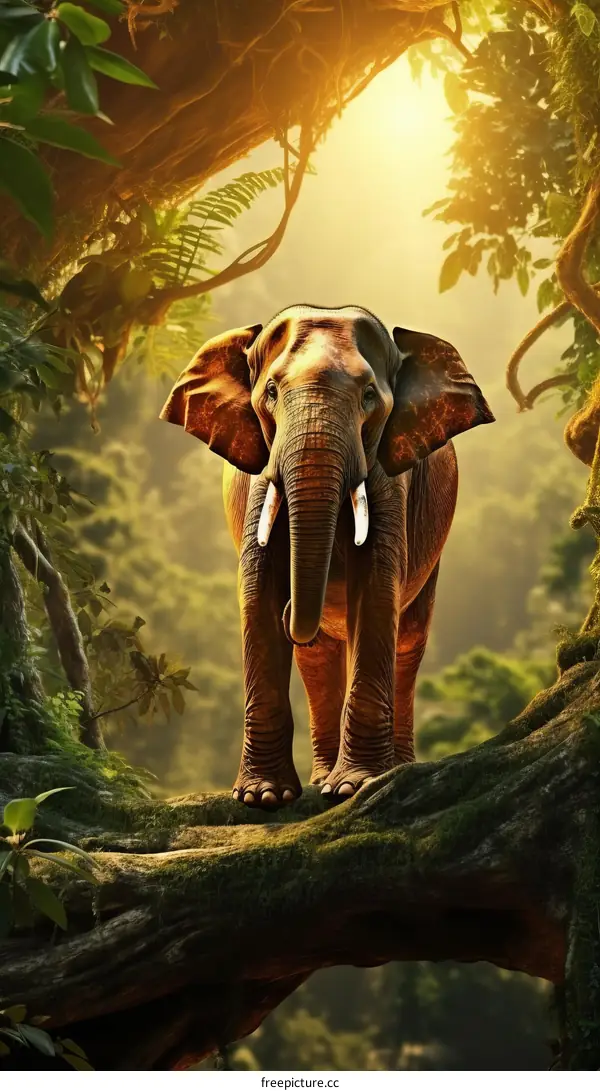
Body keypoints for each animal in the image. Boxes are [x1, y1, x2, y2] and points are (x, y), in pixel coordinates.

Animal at [160, 304, 494, 808]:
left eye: (370, 395)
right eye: (271, 392)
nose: (294, 610)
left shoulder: (388, 474)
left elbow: (377, 588)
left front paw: (356, 786)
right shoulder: (261, 472)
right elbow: (257, 589)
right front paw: (262, 798)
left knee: (408, 637)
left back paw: (390, 769)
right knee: (317, 661)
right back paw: (321, 779)